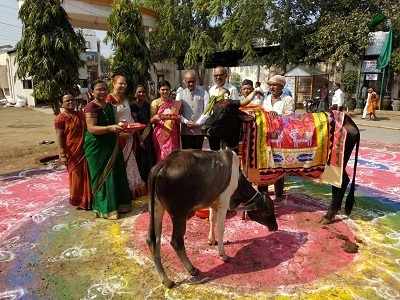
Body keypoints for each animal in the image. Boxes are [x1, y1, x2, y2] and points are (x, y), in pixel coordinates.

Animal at [147, 150, 278, 288]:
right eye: (267, 210)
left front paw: (212, 240)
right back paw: (191, 269)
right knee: (176, 241)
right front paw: (223, 254)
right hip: (179, 214)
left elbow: (211, 220)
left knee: (153, 240)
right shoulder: (224, 202)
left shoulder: (213, 202)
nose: (275, 226)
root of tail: (162, 165)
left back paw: (166, 280)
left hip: (156, 208)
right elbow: (220, 228)